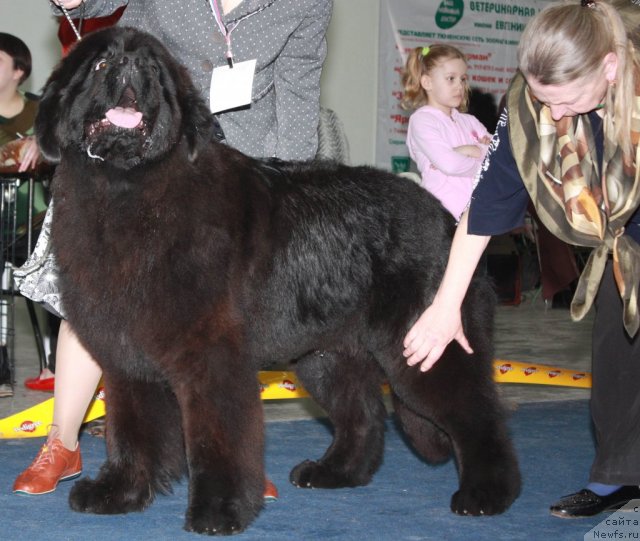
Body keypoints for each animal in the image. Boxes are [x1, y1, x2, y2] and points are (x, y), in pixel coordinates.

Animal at [36, 27, 520, 532]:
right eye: (100, 64)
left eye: (152, 68)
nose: (130, 67)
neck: (126, 191)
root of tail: (449, 220)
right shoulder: (127, 355)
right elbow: (132, 431)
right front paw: (121, 492)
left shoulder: (210, 355)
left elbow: (216, 437)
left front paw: (219, 509)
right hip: (326, 355)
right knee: (363, 414)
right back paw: (334, 472)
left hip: (423, 342)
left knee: (477, 413)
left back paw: (486, 493)